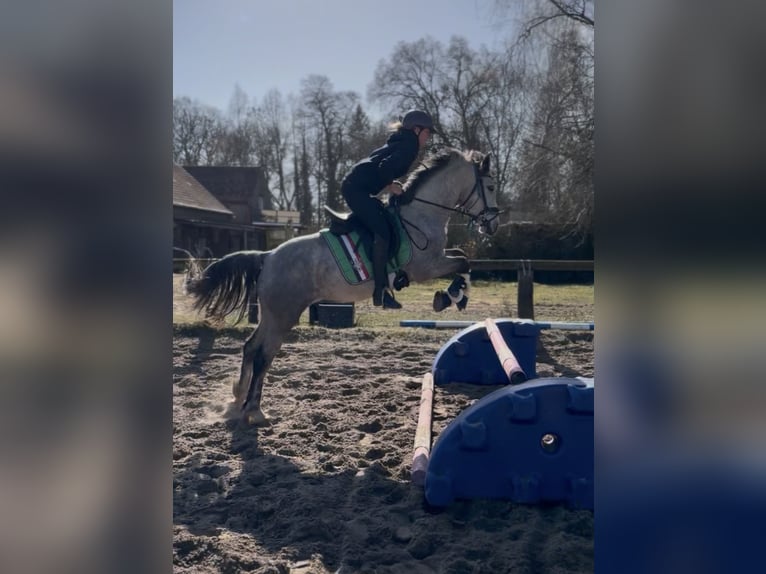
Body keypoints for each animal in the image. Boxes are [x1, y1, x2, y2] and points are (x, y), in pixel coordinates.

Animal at [187, 148, 500, 425]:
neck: (422, 213)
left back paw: (237, 400)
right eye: (492, 186)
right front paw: (450, 296)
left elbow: (462, 258)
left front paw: (455, 296)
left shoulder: (436, 261)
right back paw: (254, 411)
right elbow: (464, 261)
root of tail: (268, 256)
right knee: (264, 355)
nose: (493, 225)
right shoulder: (427, 266)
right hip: (284, 315)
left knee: (251, 347)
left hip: (272, 314)